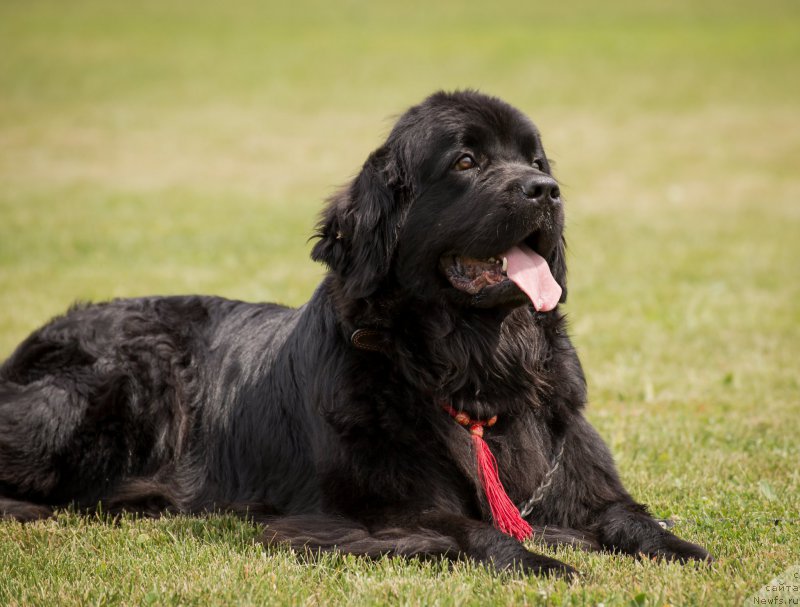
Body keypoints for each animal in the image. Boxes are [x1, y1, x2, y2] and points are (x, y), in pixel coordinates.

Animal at [0, 91, 712, 580]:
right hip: (104, 392)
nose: (547, 190)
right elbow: (472, 530)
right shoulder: (368, 510)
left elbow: (629, 516)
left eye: (534, 160)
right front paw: (549, 563)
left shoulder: (578, 472)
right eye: (466, 160)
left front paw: (683, 548)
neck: (474, 365)